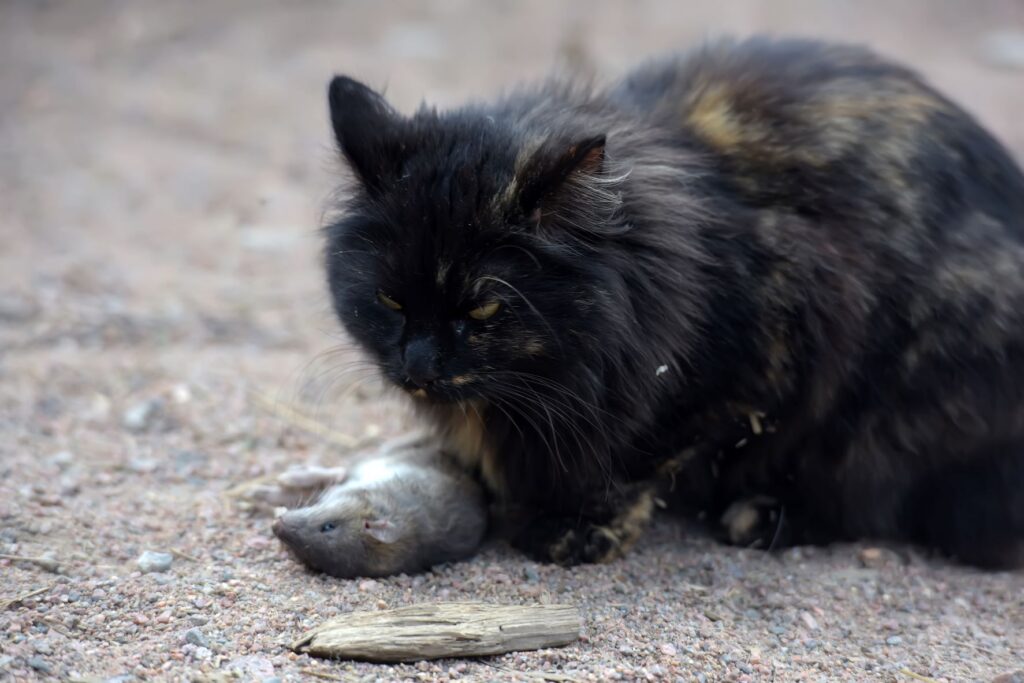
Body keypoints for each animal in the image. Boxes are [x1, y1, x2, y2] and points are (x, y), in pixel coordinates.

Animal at [319, 38, 1024, 573]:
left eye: (484, 311)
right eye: (388, 298)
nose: (418, 366)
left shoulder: (762, 347)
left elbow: (643, 452)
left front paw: (578, 526)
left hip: (900, 397)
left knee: (870, 496)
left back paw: (763, 515)